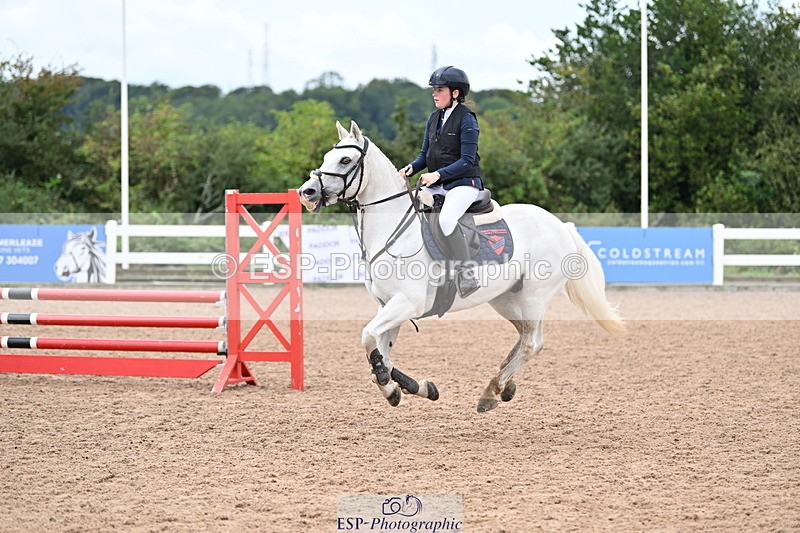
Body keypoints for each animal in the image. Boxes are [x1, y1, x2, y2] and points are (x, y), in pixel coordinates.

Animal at [298, 121, 624, 412]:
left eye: (345, 160)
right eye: (327, 157)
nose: (307, 192)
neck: (392, 230)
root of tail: (560, 224)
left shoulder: (407, 303)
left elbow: (368, 338)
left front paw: (391, 388)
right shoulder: (388, 305)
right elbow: (383, 352)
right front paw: (418, 387)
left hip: (533, 296)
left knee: (532, 342)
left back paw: (492, 391)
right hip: (506, 299)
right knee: (525, 338)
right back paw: (503, 385)